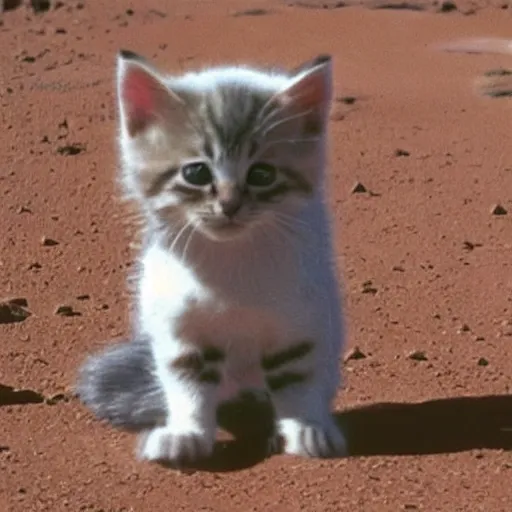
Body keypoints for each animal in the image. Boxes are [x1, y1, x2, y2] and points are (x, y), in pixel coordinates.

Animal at [77, 50, 348, 466]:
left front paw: (307, 429)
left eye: (262, 174)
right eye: (196, 172)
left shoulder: (302, 322)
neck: (229, 265)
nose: (230, 205)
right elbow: (188, 387)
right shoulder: (179, 328)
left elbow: (299, 384)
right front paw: (186, 435)